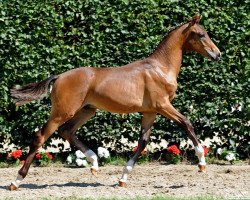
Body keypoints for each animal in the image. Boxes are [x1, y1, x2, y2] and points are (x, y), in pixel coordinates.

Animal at [9, 14, 221, 190]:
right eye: (201, 34)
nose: (217, 54)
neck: (160, 68)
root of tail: (59, 77)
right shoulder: (163, 106)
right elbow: (186, 123)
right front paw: (201, 162)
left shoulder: (150, 112)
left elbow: (142, 142)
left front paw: (123, 178)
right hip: (62, 112)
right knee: (41, 136)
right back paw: (16, 181)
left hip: (87, 110)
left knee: (66, 131)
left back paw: (94, 163)